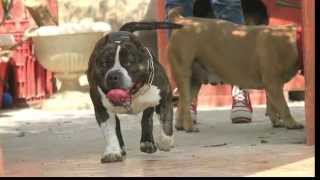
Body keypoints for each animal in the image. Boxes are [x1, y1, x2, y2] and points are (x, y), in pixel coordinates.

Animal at [168, 7, 304, 132]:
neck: (295, 40)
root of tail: (181, 20)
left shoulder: (273, 86)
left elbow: (272, 105)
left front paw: (276, 121)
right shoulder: (273, 83)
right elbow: (283, 106)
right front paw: (291, 123)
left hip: (195, 81)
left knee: (182, 102)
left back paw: (180, 125)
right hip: (184, 73)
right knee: (185, 101)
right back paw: (189, 126)